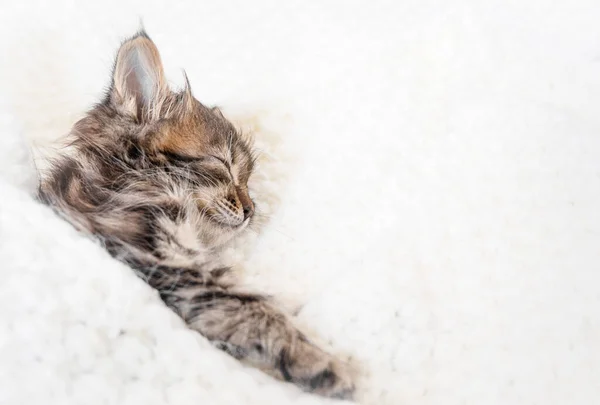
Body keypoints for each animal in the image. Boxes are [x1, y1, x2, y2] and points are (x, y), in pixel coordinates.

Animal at [37, 31, 354, 398]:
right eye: (224, 165)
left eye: (247, 180)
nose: (251, 209)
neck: (130, 180)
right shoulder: (159, 260)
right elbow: (255, 310)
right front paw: (321, 362)